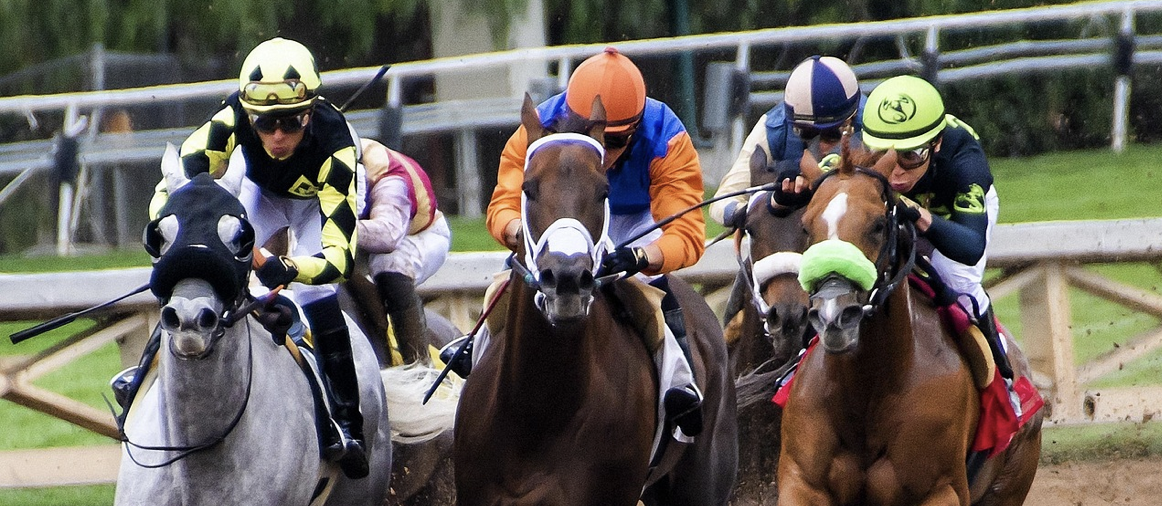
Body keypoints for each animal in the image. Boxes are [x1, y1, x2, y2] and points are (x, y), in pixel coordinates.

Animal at [776, 145, 1043, 505]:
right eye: (805, 227)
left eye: (878, 225)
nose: (834, 315)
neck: (868, 388)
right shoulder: (802, 482)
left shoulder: (940, 490)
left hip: (1010, 482)